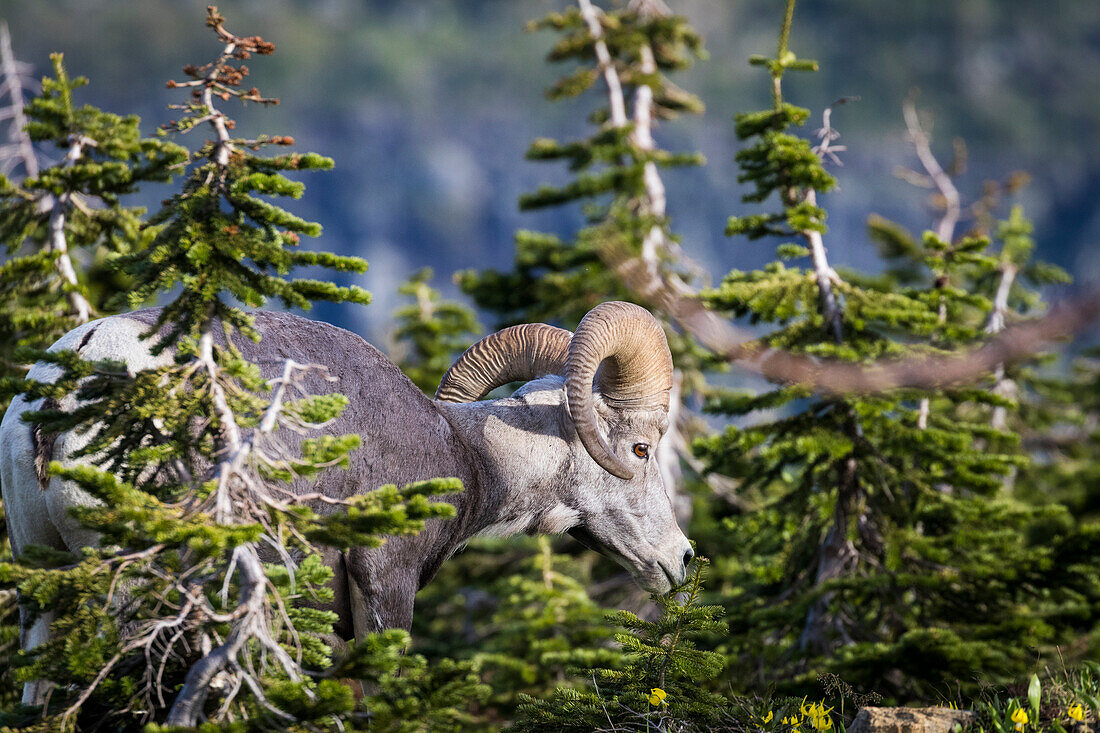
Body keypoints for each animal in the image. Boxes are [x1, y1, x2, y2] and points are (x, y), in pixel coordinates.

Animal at [0, 301, 690, 695]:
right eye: (640, 449)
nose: (681, 560)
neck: (465, 457)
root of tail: (67, 384)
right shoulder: (384, 584)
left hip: (45, 588)